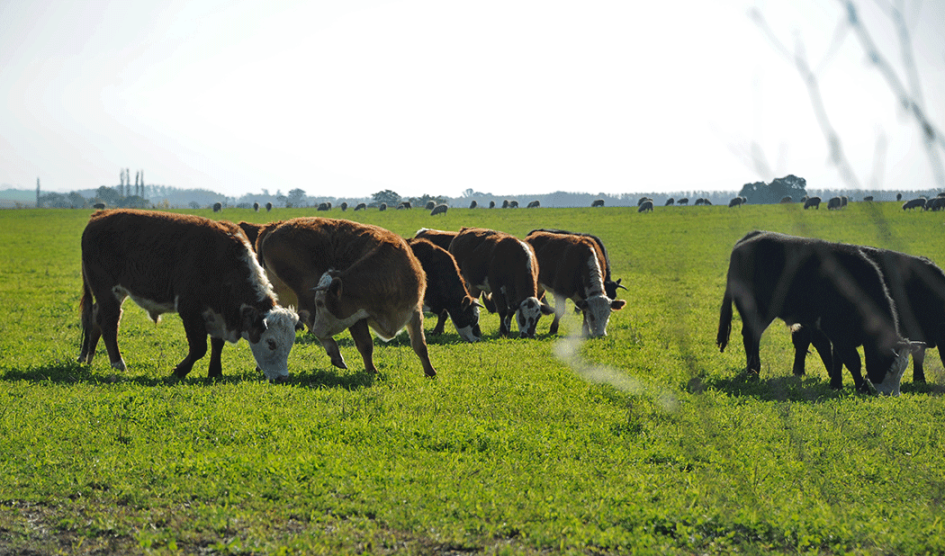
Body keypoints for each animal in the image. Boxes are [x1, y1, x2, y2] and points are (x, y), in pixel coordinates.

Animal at [77, 209, 299, 382]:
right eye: (271, 342)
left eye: (290, 342)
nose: (283, 377)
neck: (222, 259)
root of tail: (100, 215)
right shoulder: (190, 308)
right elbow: (199, 347)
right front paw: (180, 370)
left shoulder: (217, 312)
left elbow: (217, 344)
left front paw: (215, 372)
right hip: (107, 290)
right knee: (109, 323)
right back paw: (118, 364)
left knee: (95, 318)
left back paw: (86, 358)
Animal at [257, 217, 437, 376]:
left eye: (321, 303)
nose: (317, 330)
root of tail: (274, 226)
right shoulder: (356, 317)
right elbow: (365, 345)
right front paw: (372, 371)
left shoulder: (415, 311)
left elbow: (420, 345)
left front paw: (430, 372)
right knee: (305, 315)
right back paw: (334, 353)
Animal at [717, 231, 916, 395]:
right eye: (890, 367)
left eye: (903, 369)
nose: (893, 395)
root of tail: (743, 243)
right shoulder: (835, 329)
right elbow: (852, 360)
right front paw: (862, 388)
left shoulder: (840, 333)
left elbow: (838, 358)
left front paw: (836, 384)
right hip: (757, 309)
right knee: (751, 334)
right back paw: (753, 370)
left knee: (754, 334)